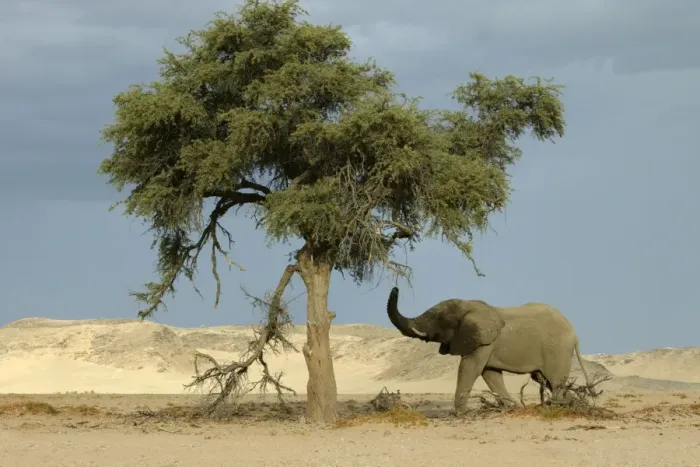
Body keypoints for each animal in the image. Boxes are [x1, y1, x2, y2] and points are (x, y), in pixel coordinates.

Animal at [386, 287, 594, 414]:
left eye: (440, 319)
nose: (396, 287)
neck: (469, 304)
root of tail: (574, 332)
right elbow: (490, 374)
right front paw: (512, 408)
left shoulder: (484, 342)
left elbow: (469, 368)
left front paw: (459, 413)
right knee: (547, 381)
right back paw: (571, 406)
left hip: (557, 349)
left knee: (555, 381)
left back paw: (560, 408)